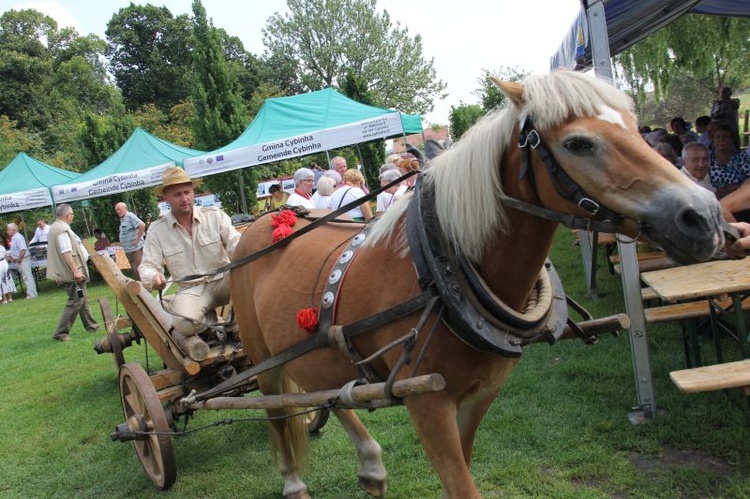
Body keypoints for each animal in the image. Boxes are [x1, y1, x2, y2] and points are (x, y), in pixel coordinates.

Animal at [231, 68, 728, 498]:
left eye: (630, 124)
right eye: (578, 143)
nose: (704, 218)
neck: (442, 273)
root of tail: (262, 222)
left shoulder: (479, 397)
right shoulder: (428, 405)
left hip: (313, 353)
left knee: (331, 395)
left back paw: (370, 464)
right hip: (262, 358)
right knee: (276, 411)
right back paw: (293, 481)